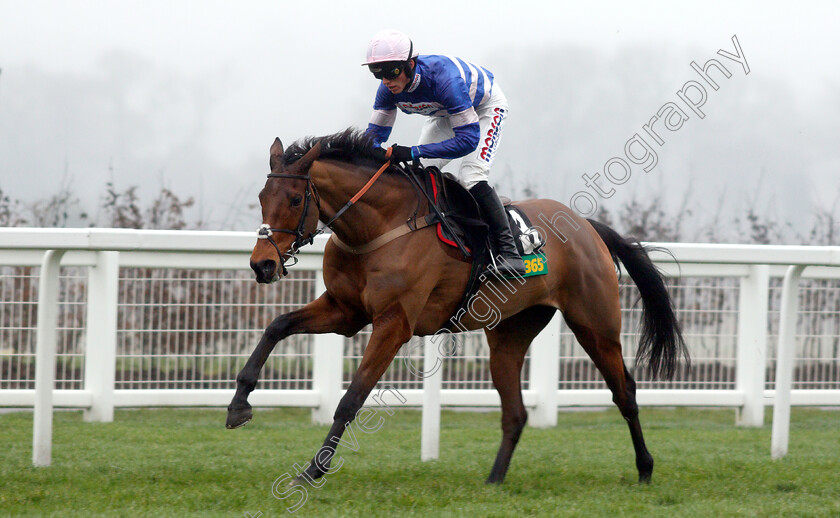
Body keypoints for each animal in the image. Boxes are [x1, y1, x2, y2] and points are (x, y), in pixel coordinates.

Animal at [228, 129, 688, 488]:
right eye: (262, 196)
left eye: (293, 198)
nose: (262, 265)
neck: (379, 227)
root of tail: (587, 227)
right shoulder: (344, 311)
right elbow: (277, 326)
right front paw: (238, 406)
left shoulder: (394, 324)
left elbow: (351, 398)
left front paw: (312, 471)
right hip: (509, 334)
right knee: (516, 412)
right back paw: (494, 480)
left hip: (595, 323)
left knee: (625, 392)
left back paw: (645, 468)